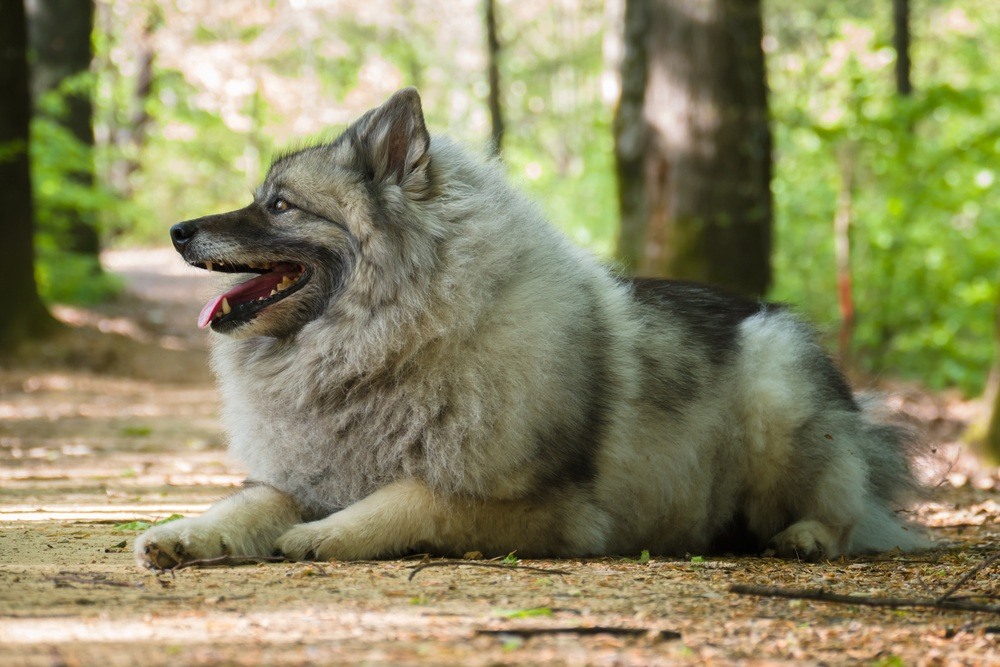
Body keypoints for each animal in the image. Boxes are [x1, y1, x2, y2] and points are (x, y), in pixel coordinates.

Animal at [135, 87, 928, 568]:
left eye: (279, 205)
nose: (176, 230)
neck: (390, 345)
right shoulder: (304, 472)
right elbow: (252, 498)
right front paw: (185, 532)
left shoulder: (545, 509)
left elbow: (410, 497)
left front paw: (322, 534)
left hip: (777, 390)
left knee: (848, 510)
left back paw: (808, 535)